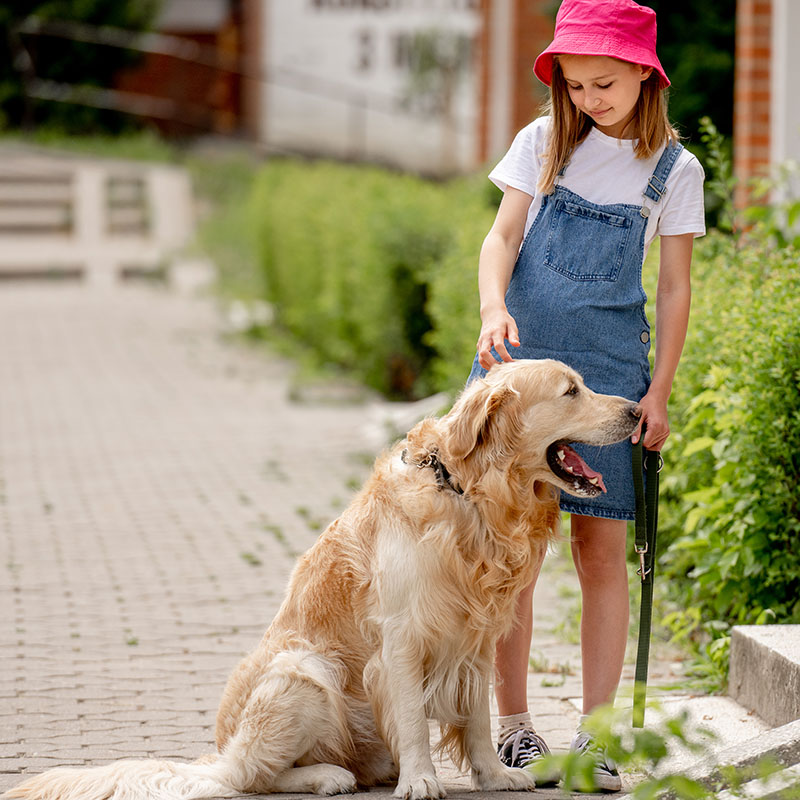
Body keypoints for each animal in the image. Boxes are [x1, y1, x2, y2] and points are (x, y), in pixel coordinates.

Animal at [4, 360, 636, 800]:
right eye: (571, 391)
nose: (636, 411)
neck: (467, 495)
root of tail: (219, 750)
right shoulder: (401, 638)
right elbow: (413, 718)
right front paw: (422, 781)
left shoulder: (475, 640)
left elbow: (477, 718)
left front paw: (492, 776)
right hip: (304, 673)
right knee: (247, 776)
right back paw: (328, 776)